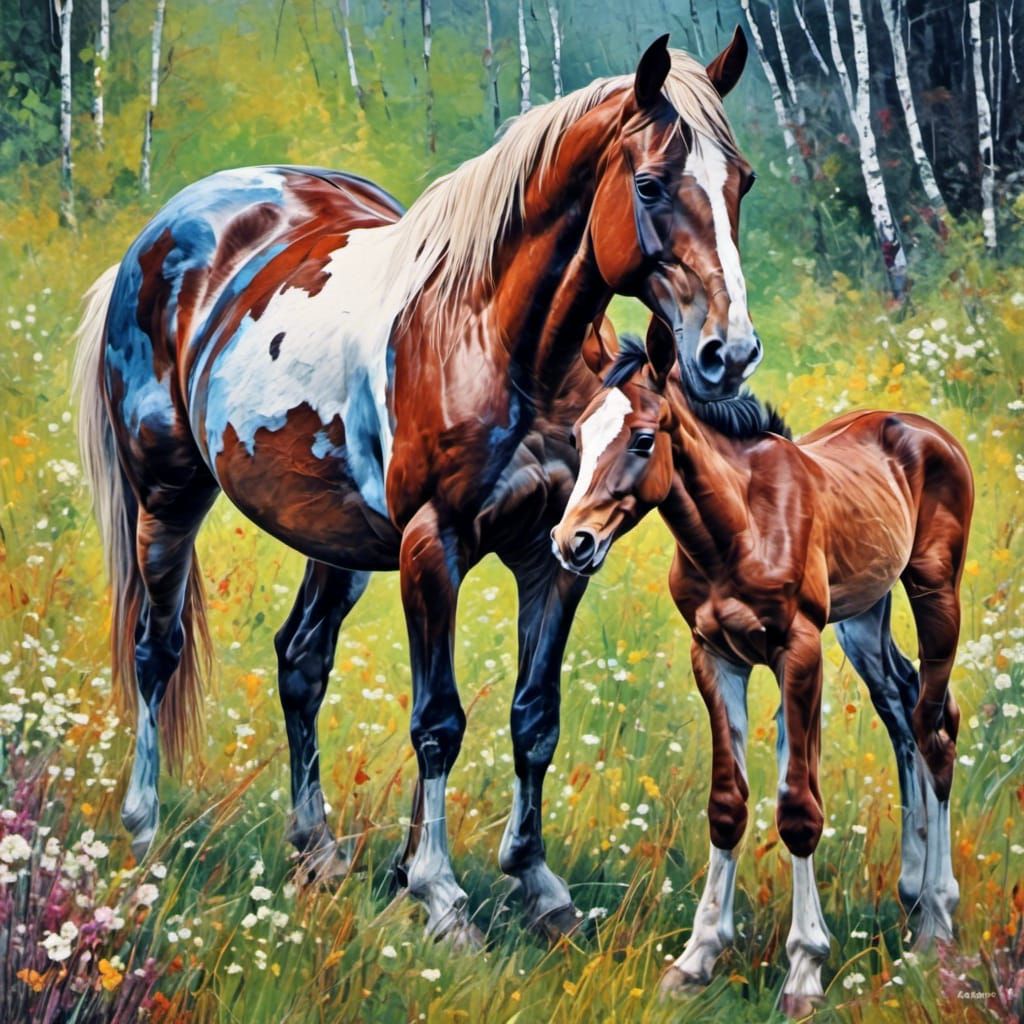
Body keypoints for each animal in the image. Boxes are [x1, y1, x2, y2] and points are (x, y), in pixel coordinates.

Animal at [72, 32, 763, 947]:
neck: (498, 338)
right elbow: (439, 721)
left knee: (301, 662)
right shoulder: (433, 547)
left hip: (330, 537)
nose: (729, 353)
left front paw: (534, 884)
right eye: (650, 184)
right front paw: (438, 894)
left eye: (740, 182)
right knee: (157, 650)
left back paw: (318, 852)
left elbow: (534, 718)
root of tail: (159, 233)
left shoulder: (558, 557)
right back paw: (144, 828)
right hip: (167, 496)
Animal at [550, 327, 972, 1012]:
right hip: (863, 618)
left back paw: (936, 920)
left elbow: (798, 808)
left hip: (935, 595)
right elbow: (728, 803)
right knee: (901, 711)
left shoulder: (798, 652)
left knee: (935, 726)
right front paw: (695, 959)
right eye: (578, 437)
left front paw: (804, 970)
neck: (739, 527)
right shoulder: (714, 654)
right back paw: (912, 895)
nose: (572, 543)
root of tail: (924, 429)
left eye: (642, 438)